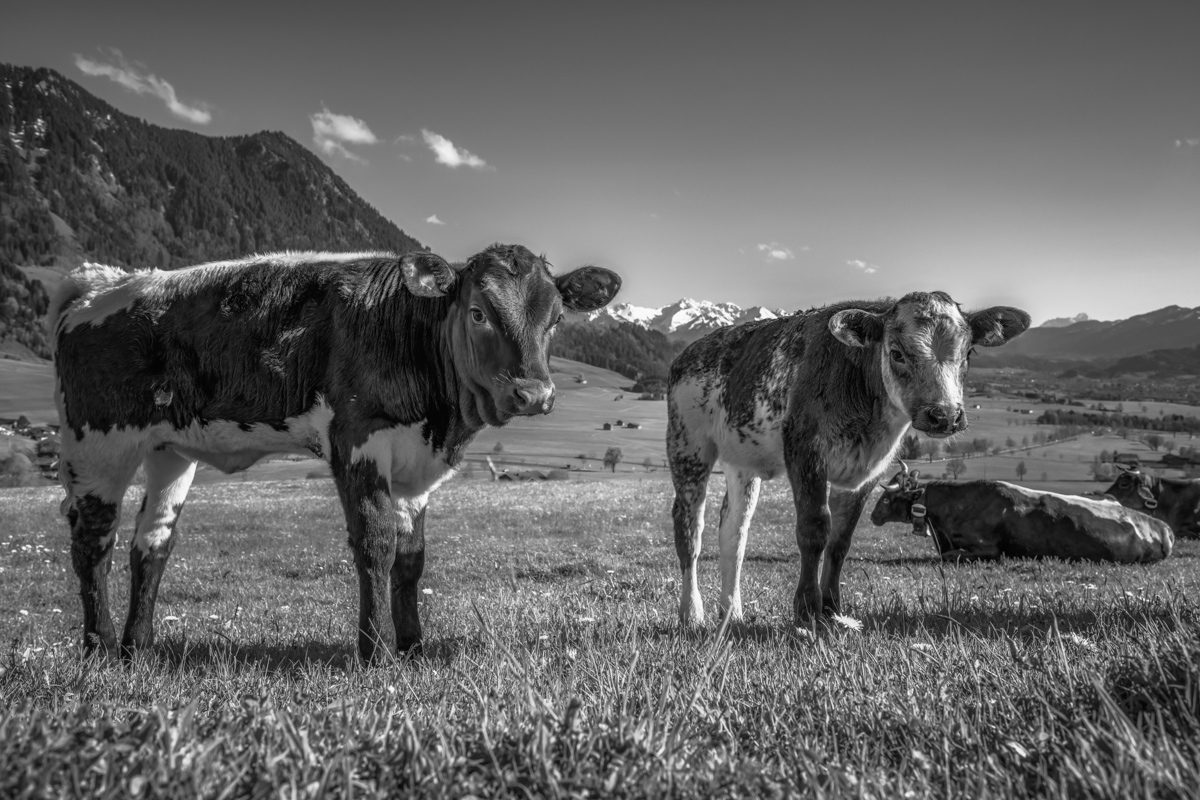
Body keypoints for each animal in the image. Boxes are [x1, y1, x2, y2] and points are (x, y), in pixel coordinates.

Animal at [51, 244, 621, 663]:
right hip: (98, 442)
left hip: (169, 449)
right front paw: (376, 652)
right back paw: (100, 648)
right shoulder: (358, 438)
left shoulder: (415, 466)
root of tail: (98, 284)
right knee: (93, 544)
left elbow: (411, 559)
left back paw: (138, 649)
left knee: (151, 545)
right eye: (478, 312)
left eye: (556, 319)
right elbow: (376, 545)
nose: (534, 394)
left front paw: (414, 647)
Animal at [666, 291, 1030, 631]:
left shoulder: (867, 471)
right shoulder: (805, 450)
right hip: (687, 444)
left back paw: (732, 614)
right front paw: (806, 609)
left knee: (733, 533)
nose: (944, 415)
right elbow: (814, 530)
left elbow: (840, 541)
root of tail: (697, 347)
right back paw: (691, 613)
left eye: (967, 353)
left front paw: (832, 610)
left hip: (741, 461)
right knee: (689, 530)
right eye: (897, 353)